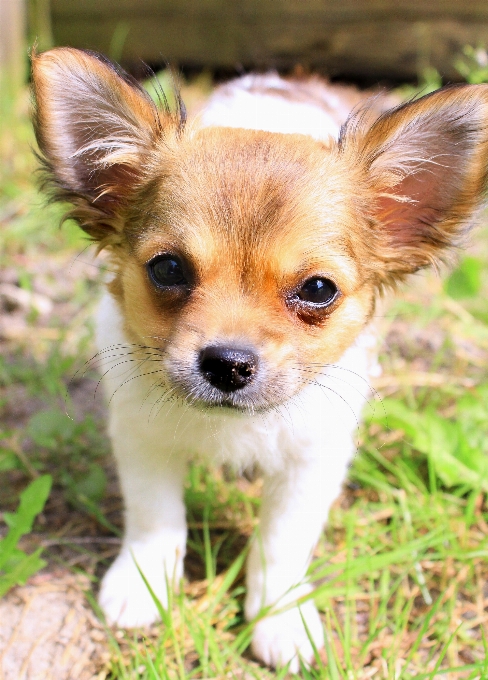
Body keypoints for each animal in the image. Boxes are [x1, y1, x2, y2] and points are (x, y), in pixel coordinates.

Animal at [32, 50, 488, 672]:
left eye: (318, 289)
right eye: (167, 269)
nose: (227, 363)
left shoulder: (314, 457)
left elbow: (281, 542)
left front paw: (280, 615)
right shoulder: (142, 436)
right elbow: (155, 516)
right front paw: (144, 584)